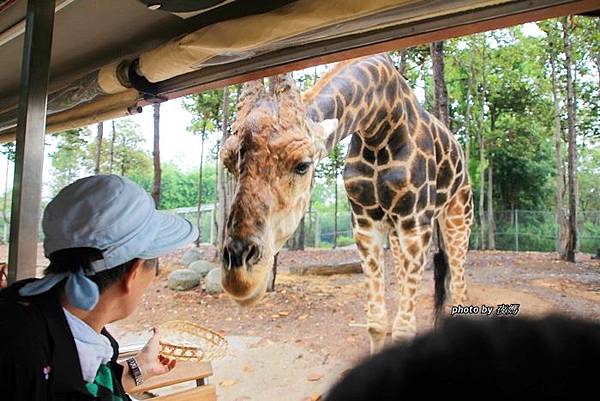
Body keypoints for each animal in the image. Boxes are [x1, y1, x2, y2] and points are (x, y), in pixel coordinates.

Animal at [219, 54, 474, 354]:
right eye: (227, 162)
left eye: (303, 165)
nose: (239, 278)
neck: (378, 127)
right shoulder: (365, 224)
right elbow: (376, 323)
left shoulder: (415, 222)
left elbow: (403, 328)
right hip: (397, 233)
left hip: (457, 215)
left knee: (459, 285)